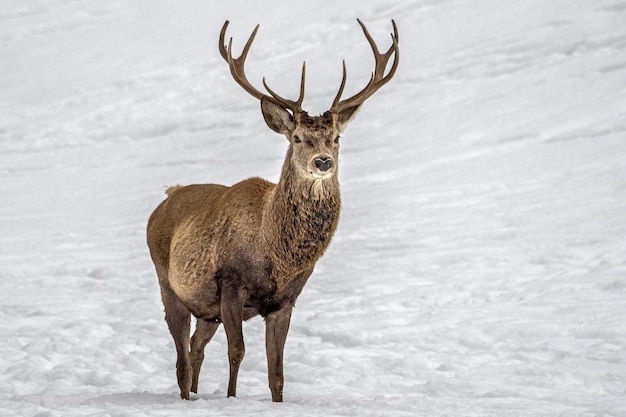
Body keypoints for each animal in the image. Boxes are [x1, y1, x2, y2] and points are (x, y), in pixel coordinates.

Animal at [146, 18, 398, 400]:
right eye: (297, 138)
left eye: (336, 138)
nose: (322, 161)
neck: (276, 252)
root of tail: (164, 200)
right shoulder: (231, 284)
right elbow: (237, 352)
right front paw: (232, 398)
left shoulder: (285, 301)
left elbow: (276, 372)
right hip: (168, 285)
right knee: (181, 358)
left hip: (206, 310)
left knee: (195, 348)